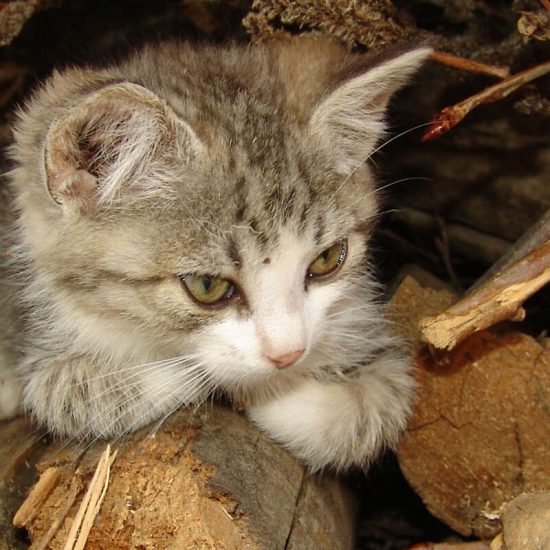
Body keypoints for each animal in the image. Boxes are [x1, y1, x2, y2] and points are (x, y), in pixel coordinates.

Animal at [0, 36, 432, 472]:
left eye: (327, 259)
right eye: (207, 285)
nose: (288, 355)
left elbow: (377, 405)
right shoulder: (42, 347)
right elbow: (74, 394)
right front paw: (237, 387)